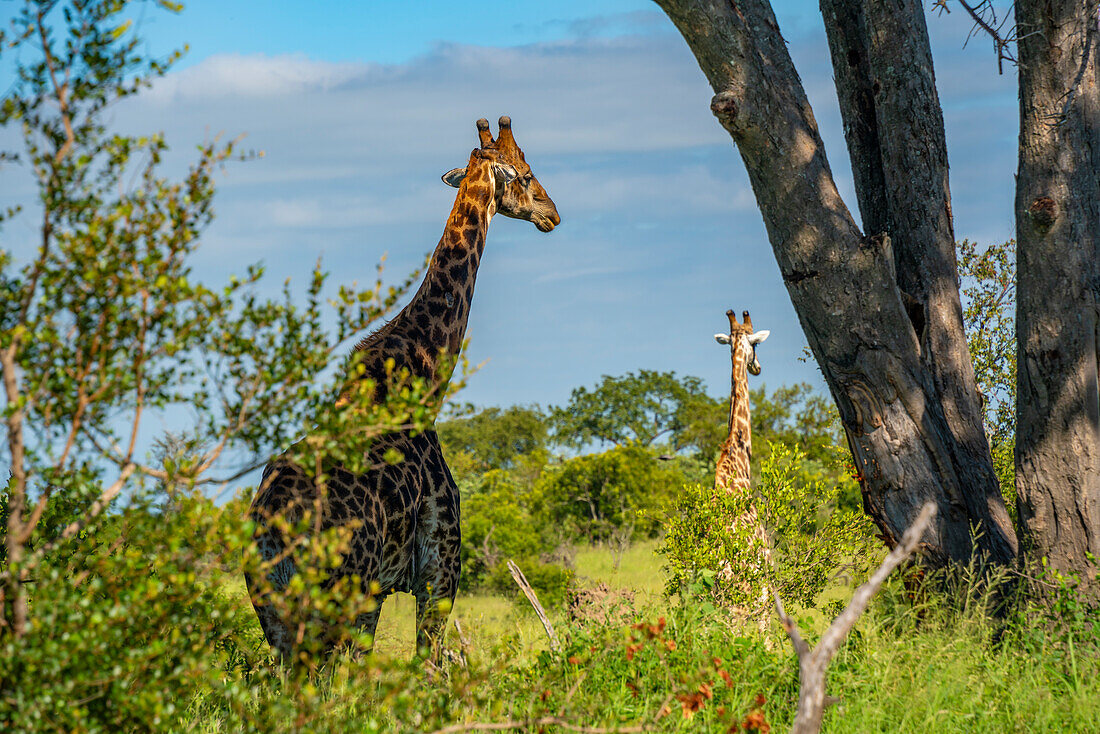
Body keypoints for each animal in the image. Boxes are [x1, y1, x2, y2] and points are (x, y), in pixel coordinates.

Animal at [247, 117, 558, 664]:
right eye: (524, 174)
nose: (553, 214)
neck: (424, 380)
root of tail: (276, 523)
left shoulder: (376, 595)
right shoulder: (440, 569)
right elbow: (426, 667)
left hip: (276, 609)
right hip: (334, 596)